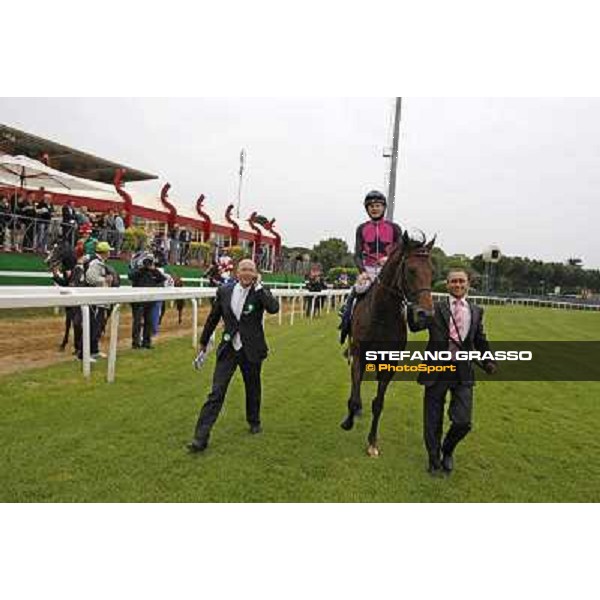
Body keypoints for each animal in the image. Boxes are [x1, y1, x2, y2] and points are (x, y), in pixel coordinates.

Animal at [340, 232, 434, 458]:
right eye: (411, 270)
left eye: (432, 272)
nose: (425, 315)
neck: (381, 315)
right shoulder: (359, 354)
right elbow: (355, 397)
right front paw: (348, 421)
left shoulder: (389, 363)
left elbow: (378, 403)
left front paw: (372, 442)